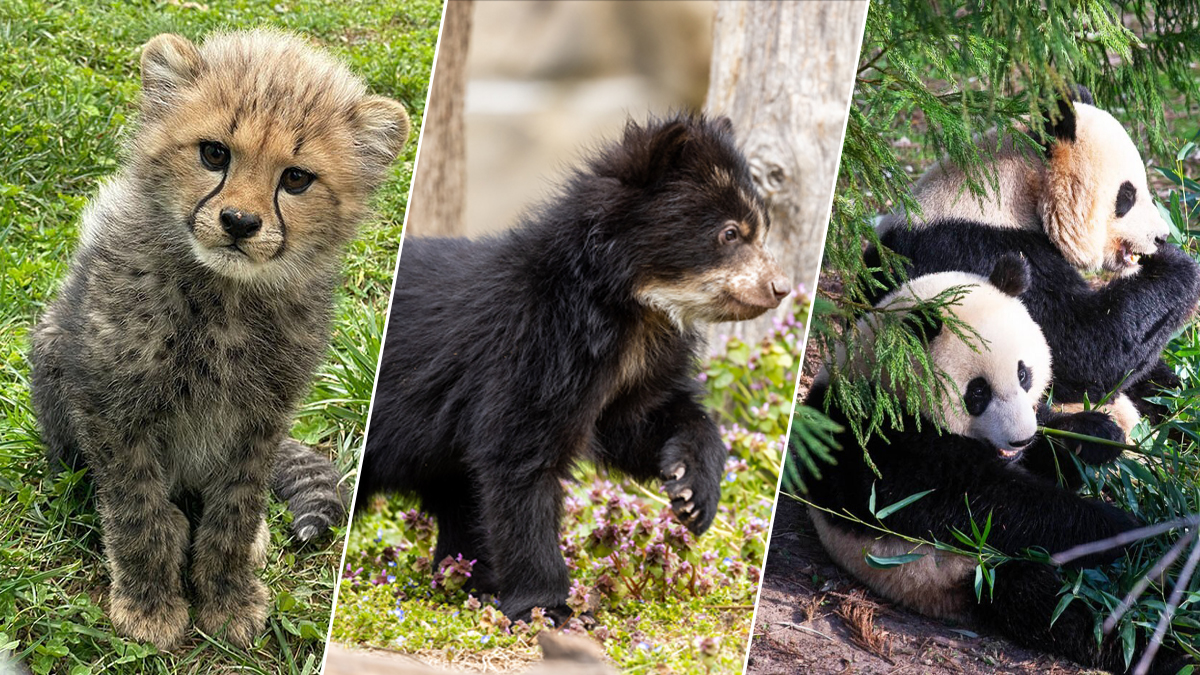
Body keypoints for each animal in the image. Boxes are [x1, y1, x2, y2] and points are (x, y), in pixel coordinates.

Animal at [806, 253, 1190, 672]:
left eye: (1024, 373)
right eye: (978, 392)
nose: (1019, 438)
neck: (882, 374)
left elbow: (1048, 454)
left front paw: (1097, 435)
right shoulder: (882, 445)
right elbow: (987, 501)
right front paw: (1130, 530)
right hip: (963, 573)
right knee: (1061, 605)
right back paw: (1163, 638)